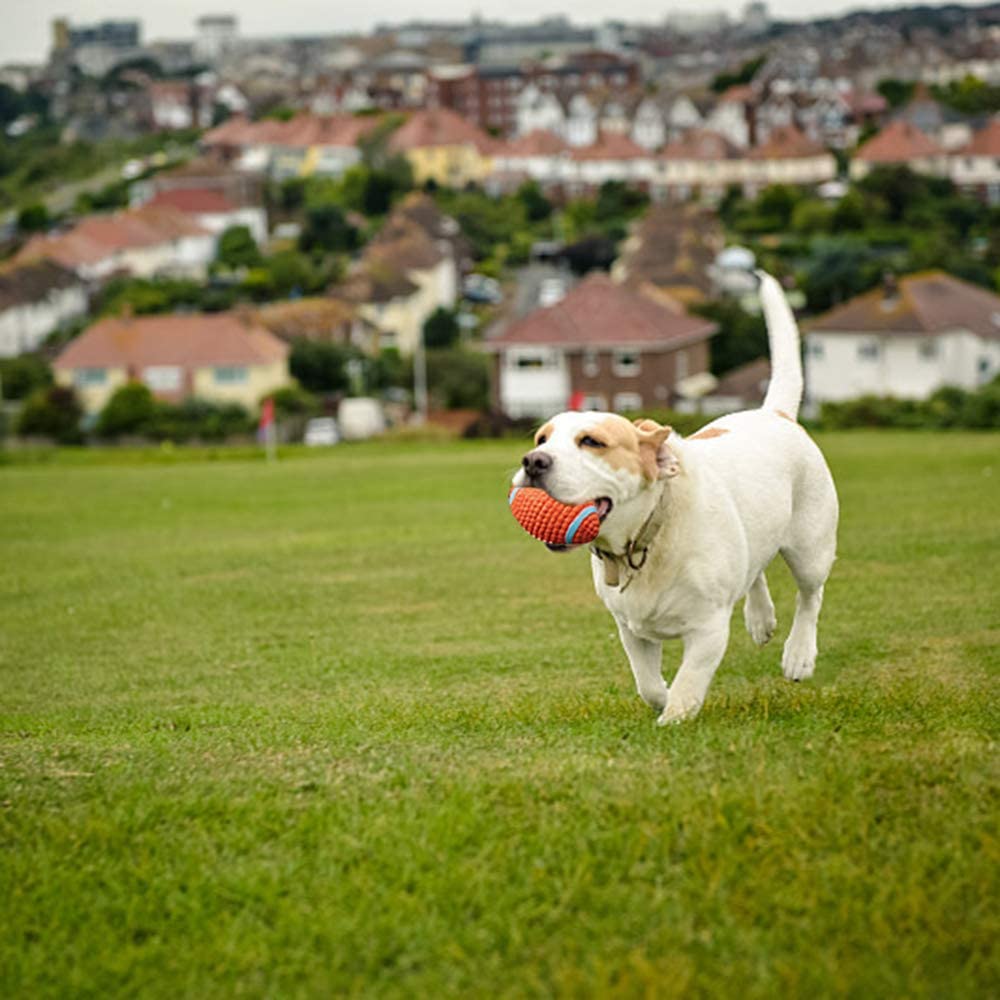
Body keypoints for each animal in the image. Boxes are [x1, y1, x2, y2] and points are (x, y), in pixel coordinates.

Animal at [512, 274, 840, 724]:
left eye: (592, 442)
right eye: (541, 439)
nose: (533, 462)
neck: (644, 540)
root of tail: (774, 414)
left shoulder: (708, 629)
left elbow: (689, 680)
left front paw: (674, 718)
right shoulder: (629, 628)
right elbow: (647, 683)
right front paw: (662, 698)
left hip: (811, 545)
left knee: (811, 595)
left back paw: (799, 655)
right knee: (755, 568)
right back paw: (760, 619)